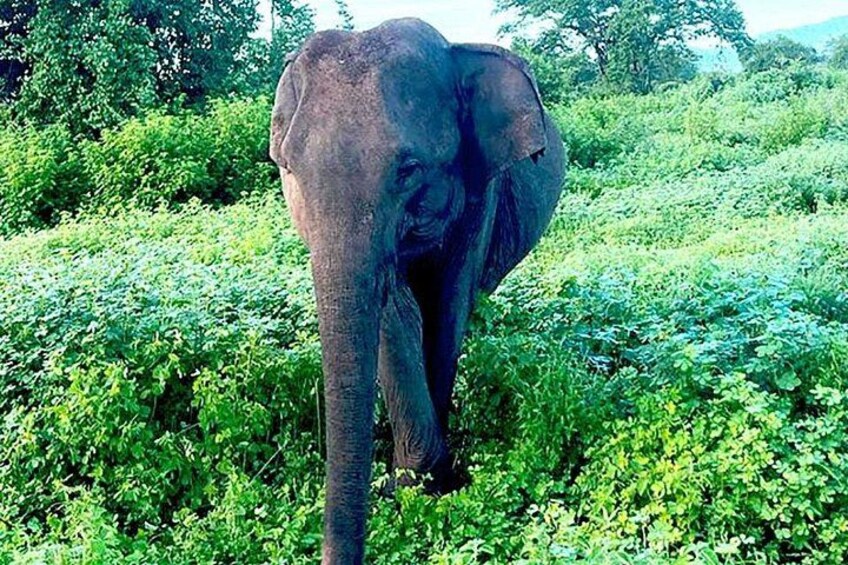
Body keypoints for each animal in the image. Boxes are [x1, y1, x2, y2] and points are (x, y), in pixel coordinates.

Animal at [269, 18, 566, 564]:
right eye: (290, 170)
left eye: (408, 170)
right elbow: (396, 310)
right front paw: (412, 482)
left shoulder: (480, 189)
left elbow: (448, 302)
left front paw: (427, 482)